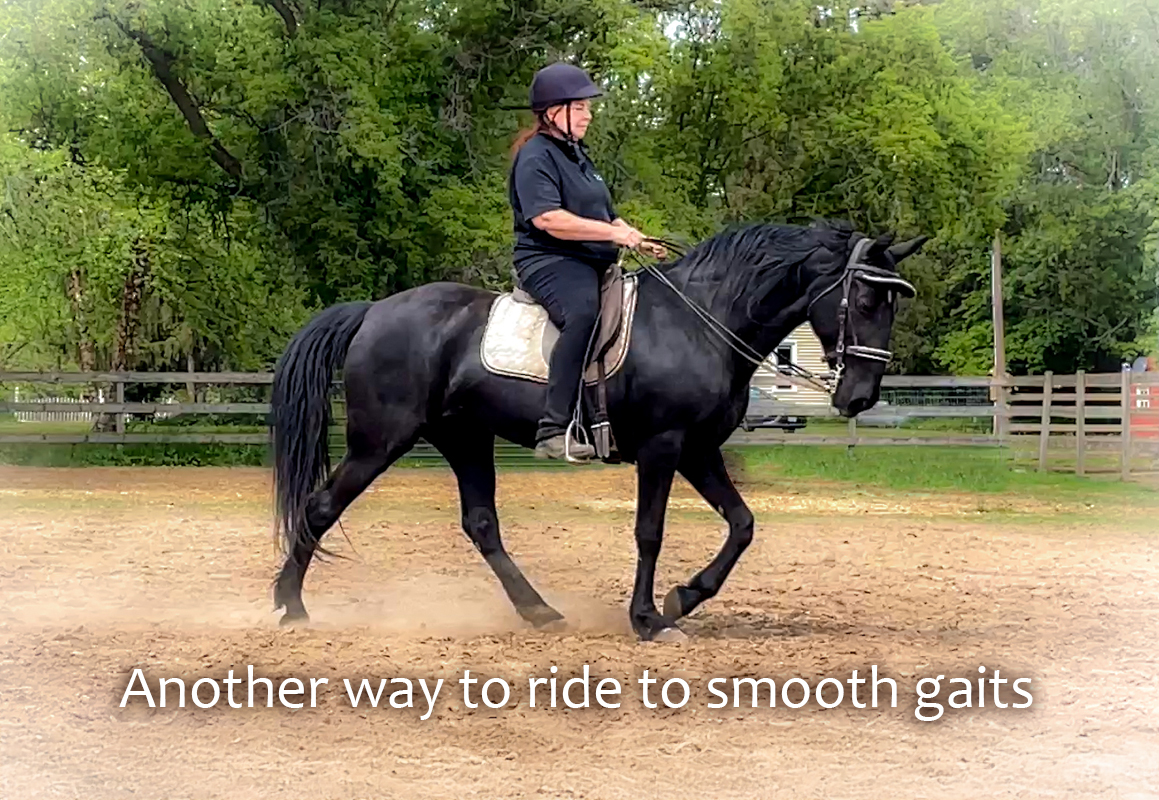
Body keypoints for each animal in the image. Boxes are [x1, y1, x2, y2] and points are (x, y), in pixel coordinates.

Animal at [270, 222, 925, 641]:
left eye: (894, 304)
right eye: (866, 299)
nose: (860, 396)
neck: (700, 322)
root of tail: (373, 312)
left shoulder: (699, 449)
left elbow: (741, 525)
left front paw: (683, 598)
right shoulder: (664, 447)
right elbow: (650, 532)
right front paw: (648, 618)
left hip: (465, 440)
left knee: (481, 525)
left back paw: (539, 613)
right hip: (380, 441)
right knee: (322, 505)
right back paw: (290, 605)